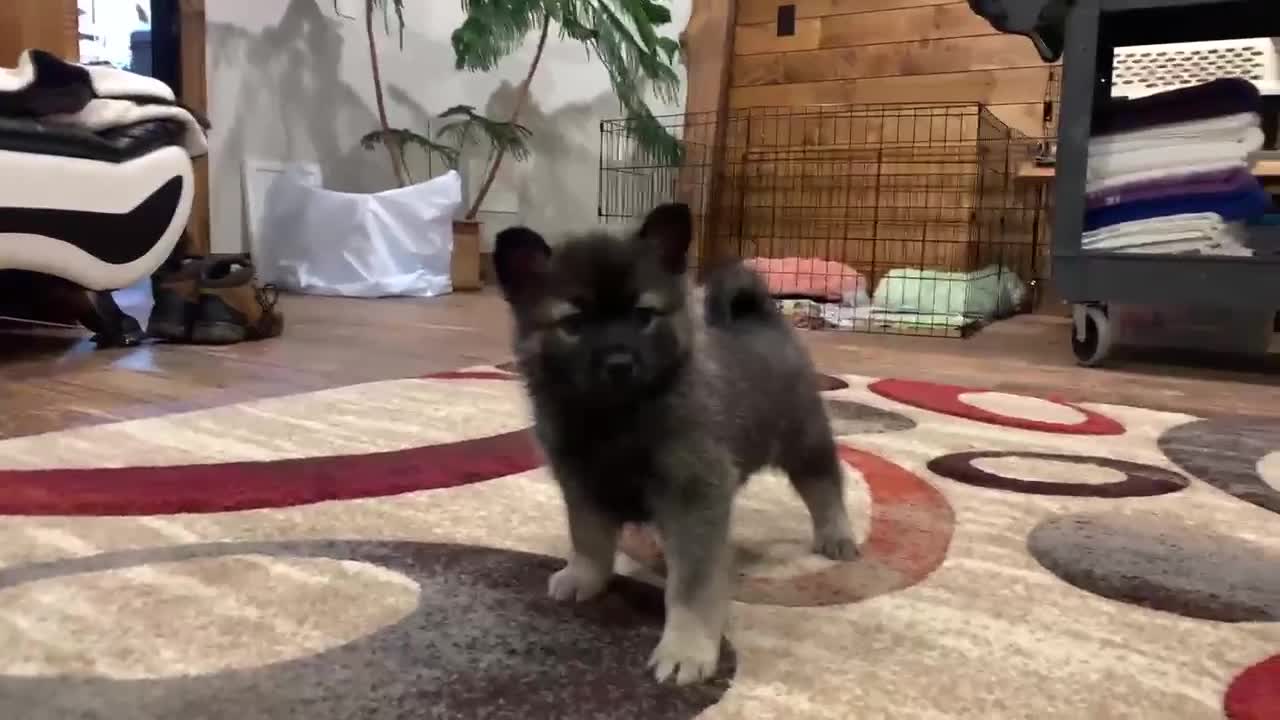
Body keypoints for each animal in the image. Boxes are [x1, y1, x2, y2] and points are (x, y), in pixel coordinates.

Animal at [494, 202, 855, 681]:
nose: (619, 362)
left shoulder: (693, 496)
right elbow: (589, 540)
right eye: (573, 323)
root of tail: (763, 319)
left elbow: (691, 586)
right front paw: (584, 577)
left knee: (824, 484)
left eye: (643, 315)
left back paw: (837, 534)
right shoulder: (582, 486)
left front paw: (687, 647)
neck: (617, 416)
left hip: (803, 437)